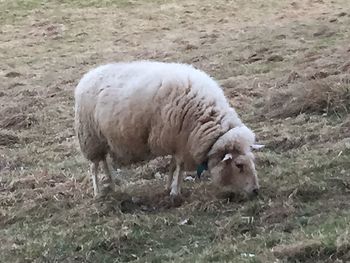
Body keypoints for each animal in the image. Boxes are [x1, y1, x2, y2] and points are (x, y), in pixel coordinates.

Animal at [74, 60, 260, 199]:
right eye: (239, 165)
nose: (256, 190)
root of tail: (86, 77)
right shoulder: (180, 141)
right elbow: (179, 167)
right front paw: (175, 191)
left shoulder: (178, 141)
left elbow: (172, 166)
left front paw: (169, 186)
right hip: (89, 137)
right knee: (94, 167)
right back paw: (97, 193)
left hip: (102, 140)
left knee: (104, 162)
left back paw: (112, 184)